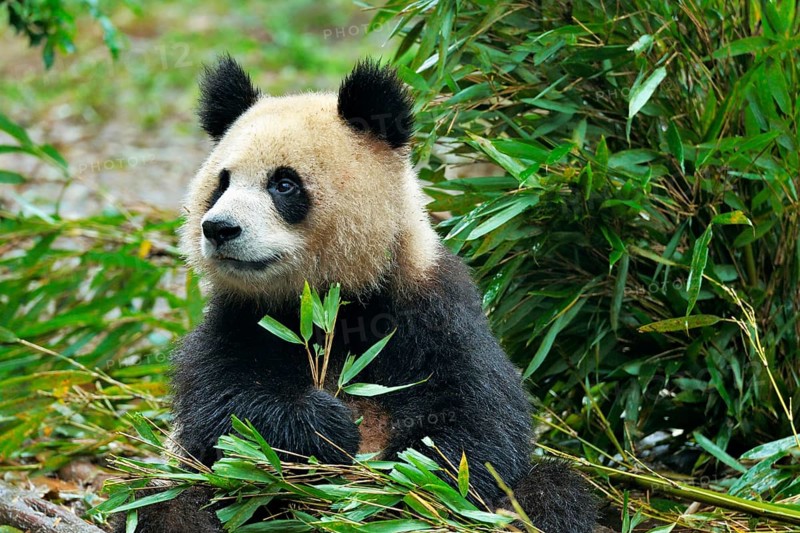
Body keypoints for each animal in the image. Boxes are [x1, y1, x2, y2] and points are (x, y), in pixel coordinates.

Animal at [124, 56, 597, 533]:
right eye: (220, 184)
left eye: (284, 184)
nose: (219, 229)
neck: (329, 302)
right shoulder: (240, 319)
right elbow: (221, 414)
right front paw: (323, 427)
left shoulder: (430, 306)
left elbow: (477, 424)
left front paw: (406, 487)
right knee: (166, 507)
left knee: (553, 493)